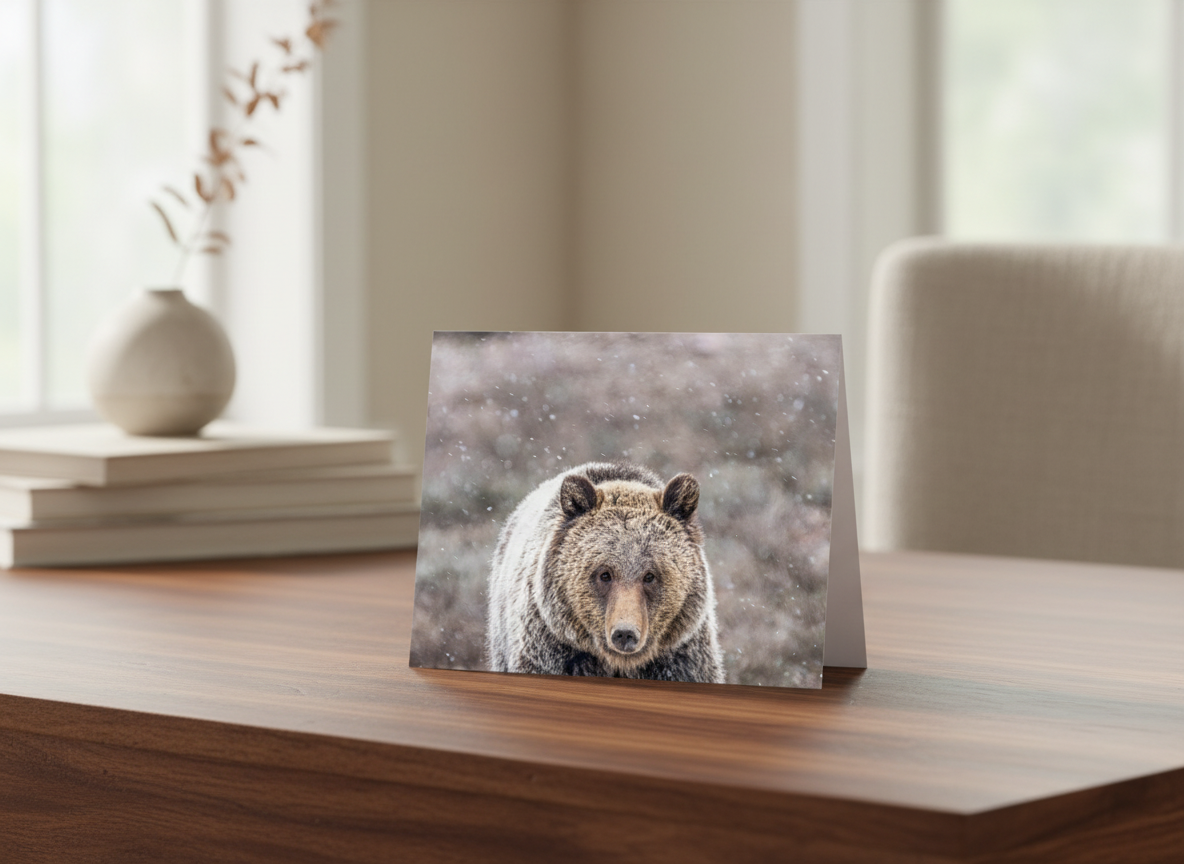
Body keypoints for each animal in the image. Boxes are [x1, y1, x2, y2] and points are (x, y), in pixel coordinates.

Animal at [486, 462, 725, 683]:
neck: (618, 663)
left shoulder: (681, 659)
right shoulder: (552, 652)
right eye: (605, 574)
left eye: (650, 576)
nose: (625, 633)